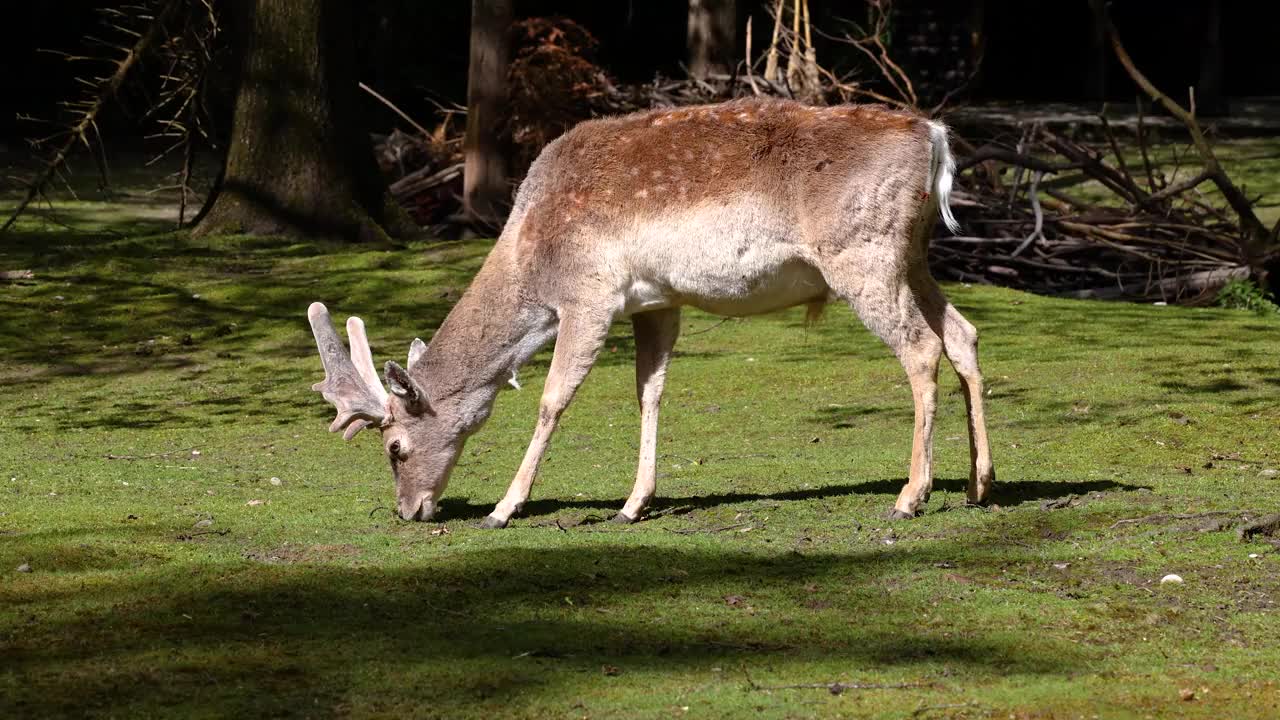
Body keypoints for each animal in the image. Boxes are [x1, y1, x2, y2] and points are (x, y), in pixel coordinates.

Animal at [304, 96, 993, 527]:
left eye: (394, 446)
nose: (410, 511)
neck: (530, 254)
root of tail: (934, 139)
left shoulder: (589, 295)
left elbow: (552, 399)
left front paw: (504, 508)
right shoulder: (656, 302)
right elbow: (649, 391)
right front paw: (633, 504)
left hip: (863, 255)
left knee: (921, 347)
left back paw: (910, 496)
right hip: (913, 256)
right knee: (962, 333)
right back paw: (979, 484)